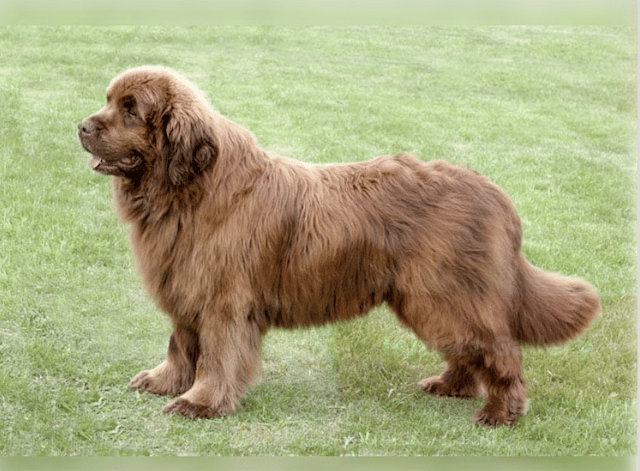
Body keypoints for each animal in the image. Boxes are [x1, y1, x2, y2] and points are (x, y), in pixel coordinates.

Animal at [79, 67, 600, 428]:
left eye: (131, 109)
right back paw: (450, 386)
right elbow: (181, 345)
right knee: (470, 349)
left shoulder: (224, 300)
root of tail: (496, 195)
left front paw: (200, 402)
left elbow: (216, 355)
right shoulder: (187, 290)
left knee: (499, 349)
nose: (81, 126)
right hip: (431, 298)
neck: (189, 190)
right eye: (109, 101)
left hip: (444, 294)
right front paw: (164, 382)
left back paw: (501, 412)